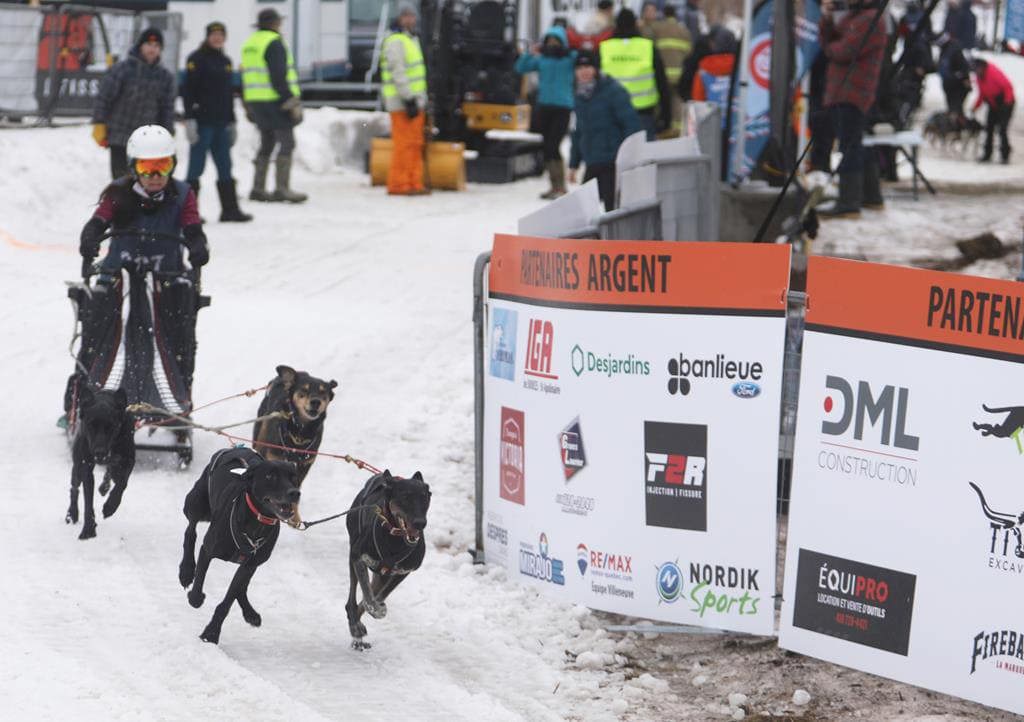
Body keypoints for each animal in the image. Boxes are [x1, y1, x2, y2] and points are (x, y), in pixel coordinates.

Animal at [66, 385, 135, 536]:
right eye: (91, 425)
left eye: (111, 426)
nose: (99, 452)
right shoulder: (86, 466)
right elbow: (88, 501)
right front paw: (88, 530)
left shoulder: (128, 460)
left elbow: (122, 483)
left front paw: (110, 506)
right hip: (77, 465)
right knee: (74, 488)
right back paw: (72, 514)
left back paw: (105, 487)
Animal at [179, 444, 299, 643]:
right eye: (270, 476)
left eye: (293, 477)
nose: (295, 493)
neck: (258, 522)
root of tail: (234, 447)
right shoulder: (208, 549)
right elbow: (198, 586)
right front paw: (196, 598)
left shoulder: (250, 564)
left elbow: (228, 600)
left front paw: (211, 633)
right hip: (196, 504)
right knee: (190, 532)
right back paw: (186, 571)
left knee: (241, 588)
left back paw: (250, 613)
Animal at [250, 366, 335, 524]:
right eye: (304, 389)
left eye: (323, 392)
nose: (315, 402)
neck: (299, 435)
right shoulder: (273, 459)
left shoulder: (304, 467)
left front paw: (294, 517)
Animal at [348, 471, 432, 651]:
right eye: (405, 497)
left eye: (425, 497)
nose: (420, 523)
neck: (395, 539)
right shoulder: (359, 558)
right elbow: (368, 594)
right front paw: (372, 611)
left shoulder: (402, 572)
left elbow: (378, 596)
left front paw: (375, 608)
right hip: (353, 555)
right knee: (351, 600)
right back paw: (355, 625)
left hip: (382, 575)